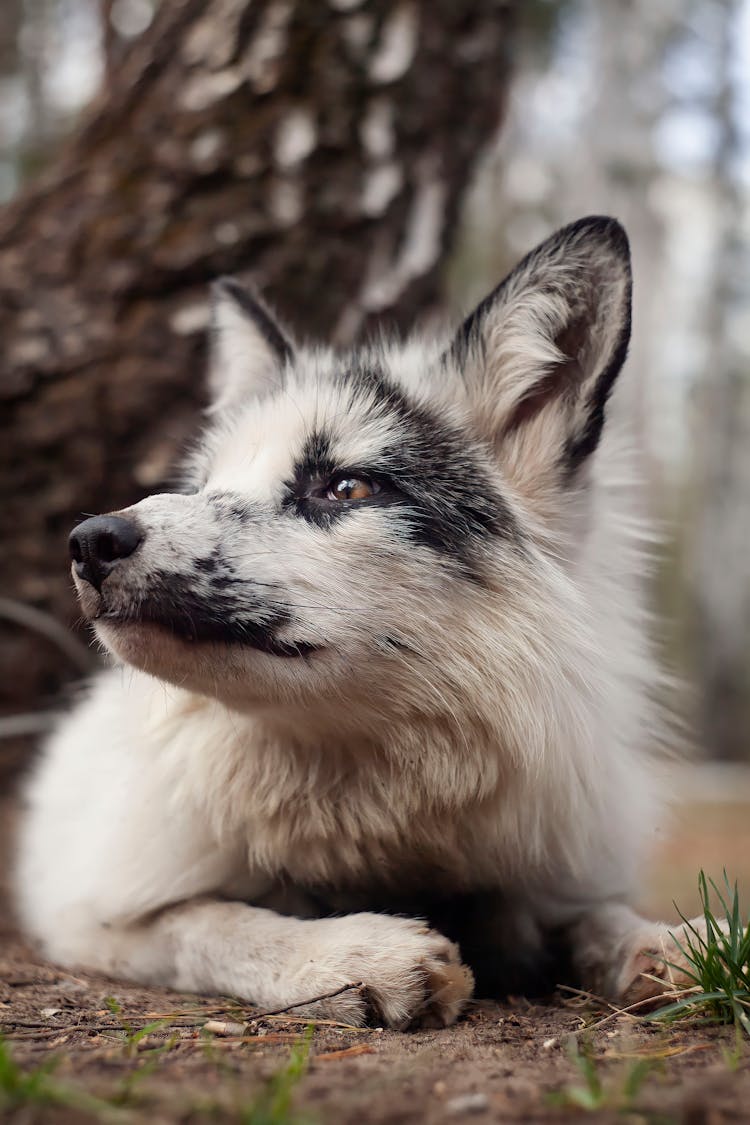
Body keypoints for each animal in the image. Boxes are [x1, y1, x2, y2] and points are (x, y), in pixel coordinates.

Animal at [13, 217, 706, 1030]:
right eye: (208, 485)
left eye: (344, 487)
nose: (90, 542)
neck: (380, 824)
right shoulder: (88, 917)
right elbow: (212, 923)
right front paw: (348, 952)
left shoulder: (550, 874)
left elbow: (595, 916)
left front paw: (669, 941)